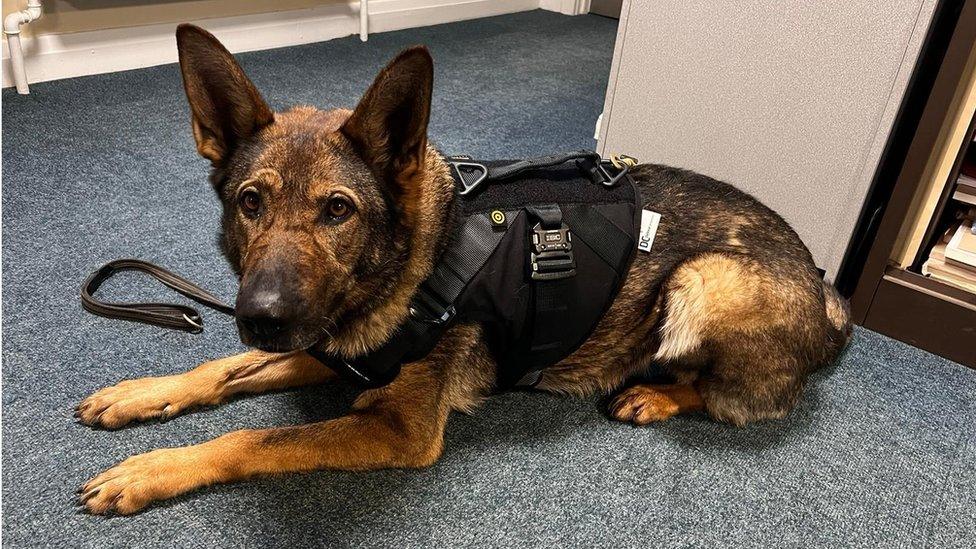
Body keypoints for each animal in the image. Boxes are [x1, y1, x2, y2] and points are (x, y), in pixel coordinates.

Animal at [80, 24, 852, 512]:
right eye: (250, 202)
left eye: (338, 210)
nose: (259, 317)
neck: (412, 265)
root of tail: (826, 291)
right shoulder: (333, 352)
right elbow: (221, 371)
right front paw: (142, 393)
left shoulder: (398, 427)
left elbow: (255, 435)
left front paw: (153, 468)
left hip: (703, 279)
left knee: (734, 398)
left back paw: (656, 395)